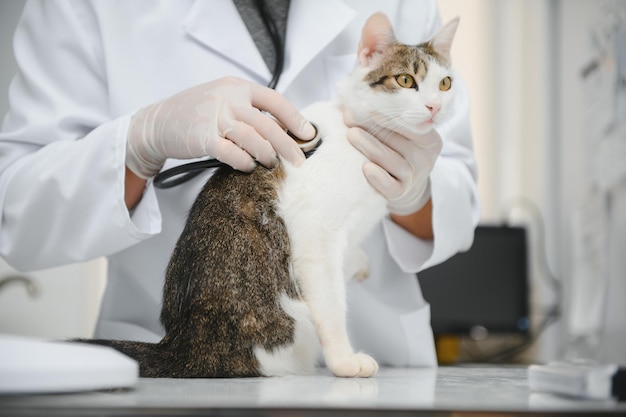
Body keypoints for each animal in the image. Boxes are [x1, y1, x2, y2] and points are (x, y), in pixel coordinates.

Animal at [81, 13, 458, 376]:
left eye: (445, 83)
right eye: (406, 81)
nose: (435, 107)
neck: (362, 132)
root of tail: (186, 344)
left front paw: (357, 263)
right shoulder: (316, 234)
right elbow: (331, 302)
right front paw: (344, 360)